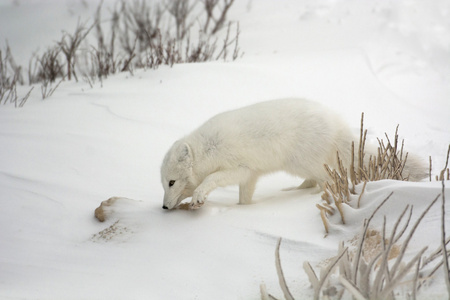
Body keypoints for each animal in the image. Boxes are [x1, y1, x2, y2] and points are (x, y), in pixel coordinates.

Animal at [160, 98, 428, 209]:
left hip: (302, 163)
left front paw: (199, 195)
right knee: (314, 181)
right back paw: (291, 191)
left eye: (171, 182)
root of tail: (336, 125)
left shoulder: (240, 168)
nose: (163, 207)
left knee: (326, 181)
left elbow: (210, 179)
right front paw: (243, 209)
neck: (208, 149)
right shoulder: (250, 175)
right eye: (163, 184)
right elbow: (244, 197)